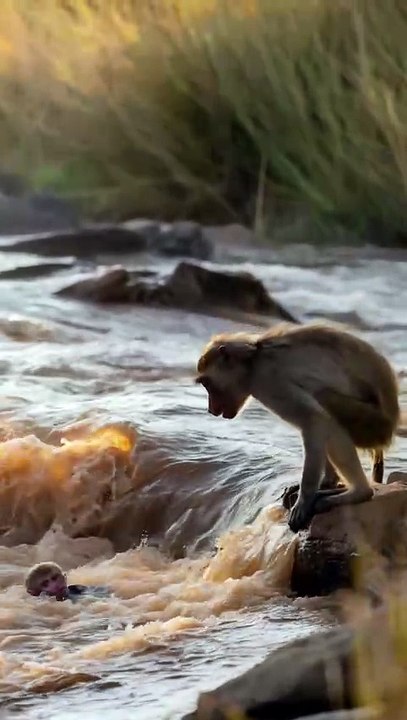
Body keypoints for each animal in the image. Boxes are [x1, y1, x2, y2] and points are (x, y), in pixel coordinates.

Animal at [195, 323, 400, 533]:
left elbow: (314, 419)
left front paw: (305, 500)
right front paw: (324, 484)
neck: (253, 361)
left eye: (208, 385)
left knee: (325, 406)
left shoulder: (268, 380)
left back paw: (360, 492)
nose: (211, 409)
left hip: (374, 426)